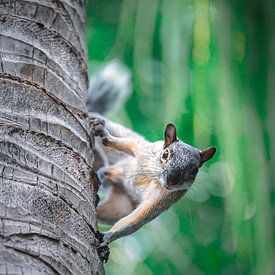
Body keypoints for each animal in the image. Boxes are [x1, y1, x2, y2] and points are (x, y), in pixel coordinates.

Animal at [87, 61, 217, 247]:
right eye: (165, 155)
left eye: (195, 170)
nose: (171, 180)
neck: (154, 178)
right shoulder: (144, 152)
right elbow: (128, 144)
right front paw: (107, 137)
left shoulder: (163, 199)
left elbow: (135, 221)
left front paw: (107, 237)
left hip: (121, 205)